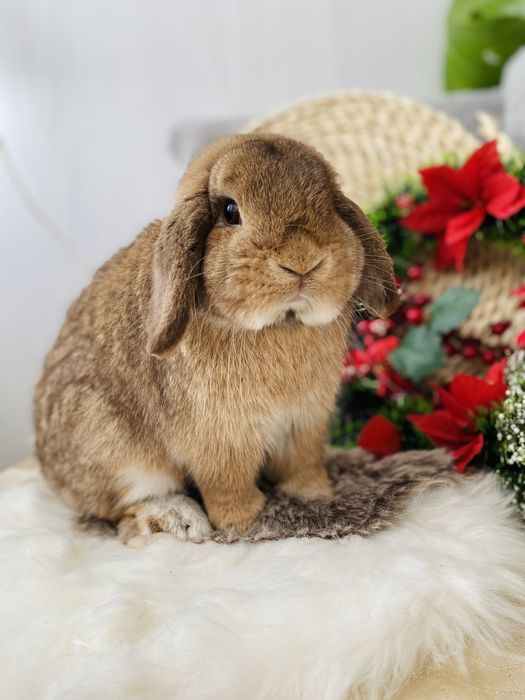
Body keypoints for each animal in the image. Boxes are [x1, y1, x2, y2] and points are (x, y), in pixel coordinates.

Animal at [33, 134, 398, 544]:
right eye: (229, 210)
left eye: (331, 203)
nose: (302, 260)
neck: (279, 325)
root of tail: (49, 466)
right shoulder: (219, 439)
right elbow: (227, 483)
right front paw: (243, 521)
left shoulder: (304, 423)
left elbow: (302, 466)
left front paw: (315, 494)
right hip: (116, 451)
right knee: (122, 507)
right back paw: (183, 519)